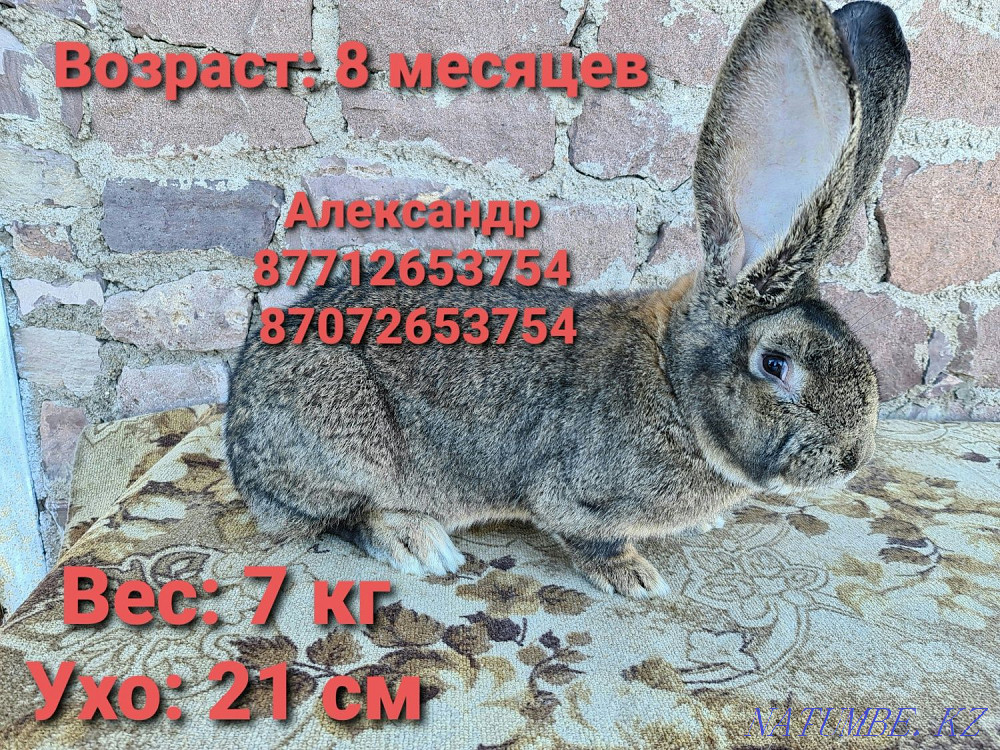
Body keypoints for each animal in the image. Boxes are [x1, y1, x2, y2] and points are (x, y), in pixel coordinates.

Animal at [225, 0, 910, 597]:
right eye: (775, 364)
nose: (852, 459)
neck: (674, 385)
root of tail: (239, 436)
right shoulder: (576, 496)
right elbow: (588, 536)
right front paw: (635, 578)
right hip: (339, 436)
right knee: (339, 514)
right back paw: (418, 541)